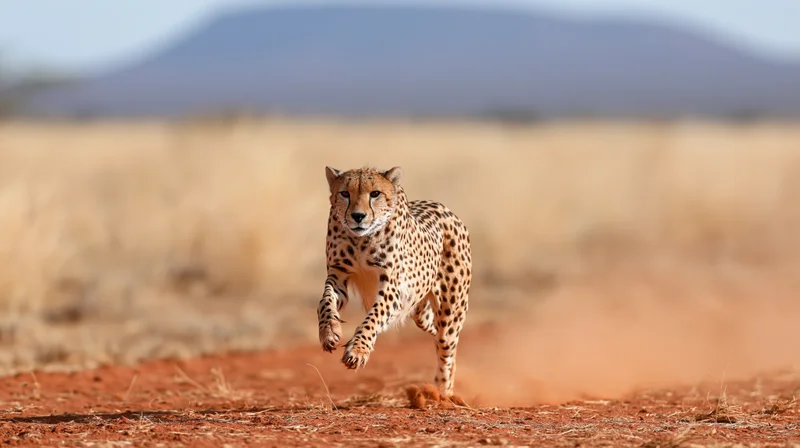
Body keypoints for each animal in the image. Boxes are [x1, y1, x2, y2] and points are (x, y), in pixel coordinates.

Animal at [317, 165, 472, 400]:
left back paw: (442, 392)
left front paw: (357, 351)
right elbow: (325, 301)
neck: (361, 239)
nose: (358, 216)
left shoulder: (391, 289)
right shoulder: (338, 274)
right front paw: (329, 332)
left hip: (450, 314)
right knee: (435, 333)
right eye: (344, 193)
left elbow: (373, 317)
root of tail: (446, 209)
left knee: (447, 351)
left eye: (375, 194)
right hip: (421, 313)